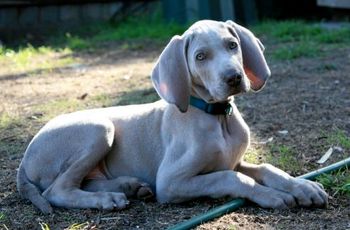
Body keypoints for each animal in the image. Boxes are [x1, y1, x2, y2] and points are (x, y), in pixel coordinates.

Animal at [16, 20, 328, 214]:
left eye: (232, 45)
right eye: (200, 57)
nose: (234, 78)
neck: (218, 118)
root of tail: (25, 157)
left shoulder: (235, 160)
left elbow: (267, 169)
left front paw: (303, 187)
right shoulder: (171, 181)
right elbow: (230, 178)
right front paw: (273, 195)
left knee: (79, 181)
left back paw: (130, 187)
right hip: (98, 128)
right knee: (56, 190)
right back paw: (108, 198)